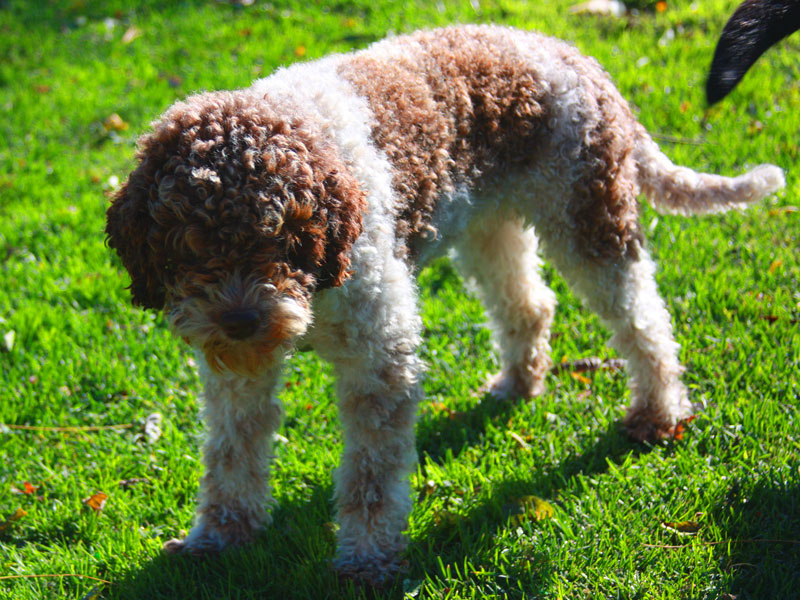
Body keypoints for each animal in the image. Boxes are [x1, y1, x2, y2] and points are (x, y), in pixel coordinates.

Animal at [104, 25, 780, 584]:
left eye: (285, 239)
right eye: (187, 248)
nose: (243, 321)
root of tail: (576, 57)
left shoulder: (381, 355)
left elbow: (371, 475)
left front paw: (368, 561)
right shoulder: (238, 370)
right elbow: (231, 450)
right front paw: (219, 538)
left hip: (590, 220)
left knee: (645, 321)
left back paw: (658, 413)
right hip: (491, 227)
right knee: (530, 306)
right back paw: (517, 384)